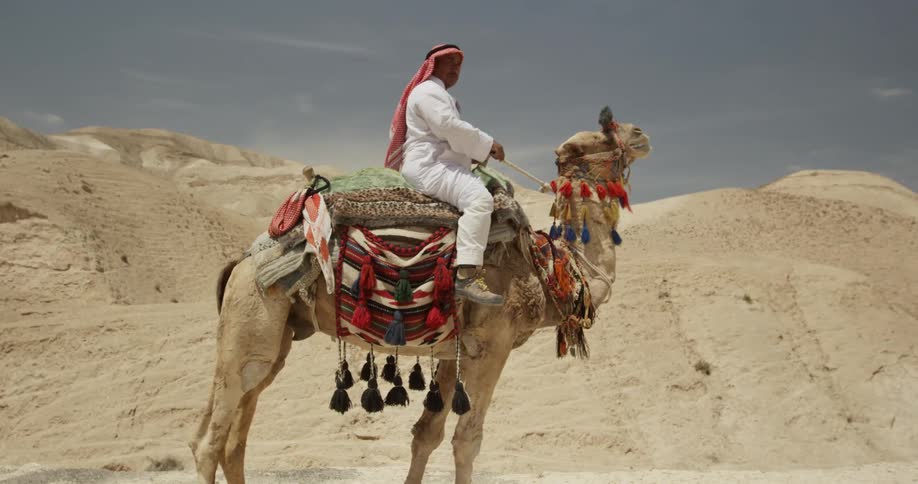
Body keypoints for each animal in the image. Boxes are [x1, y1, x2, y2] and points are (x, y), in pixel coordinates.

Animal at [189, 117, 652, 484]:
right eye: (603, 132)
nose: (642, 134)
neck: (545, 268)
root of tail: (242, 261)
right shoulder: (493, 345)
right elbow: (467, 440)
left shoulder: (453, 350)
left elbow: (426, 434)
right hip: (253, 321)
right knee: (210, 441)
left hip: (273, 336)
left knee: (230, 437)